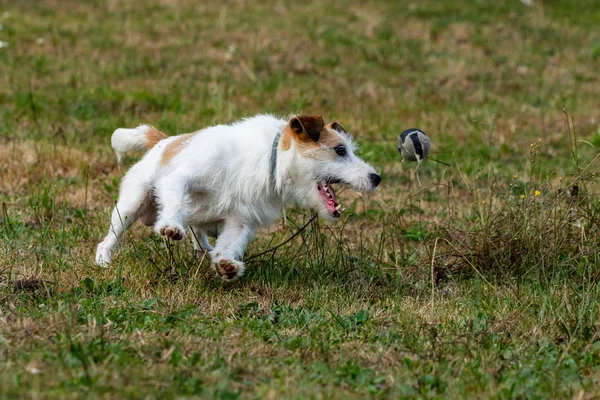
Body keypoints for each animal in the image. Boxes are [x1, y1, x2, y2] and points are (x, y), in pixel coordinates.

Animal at [96, 114, 382, 280]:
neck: (270, 161)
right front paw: (171, 227)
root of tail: (164, 141)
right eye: (339, 150)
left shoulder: (240, 221)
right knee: (109, 238)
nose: (376, 178)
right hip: (131, 205)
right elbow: (176, 202)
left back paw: (205, 251)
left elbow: (230, 243)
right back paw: (103, 261)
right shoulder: (180, 179)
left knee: (199, 234)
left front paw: (226, 264)